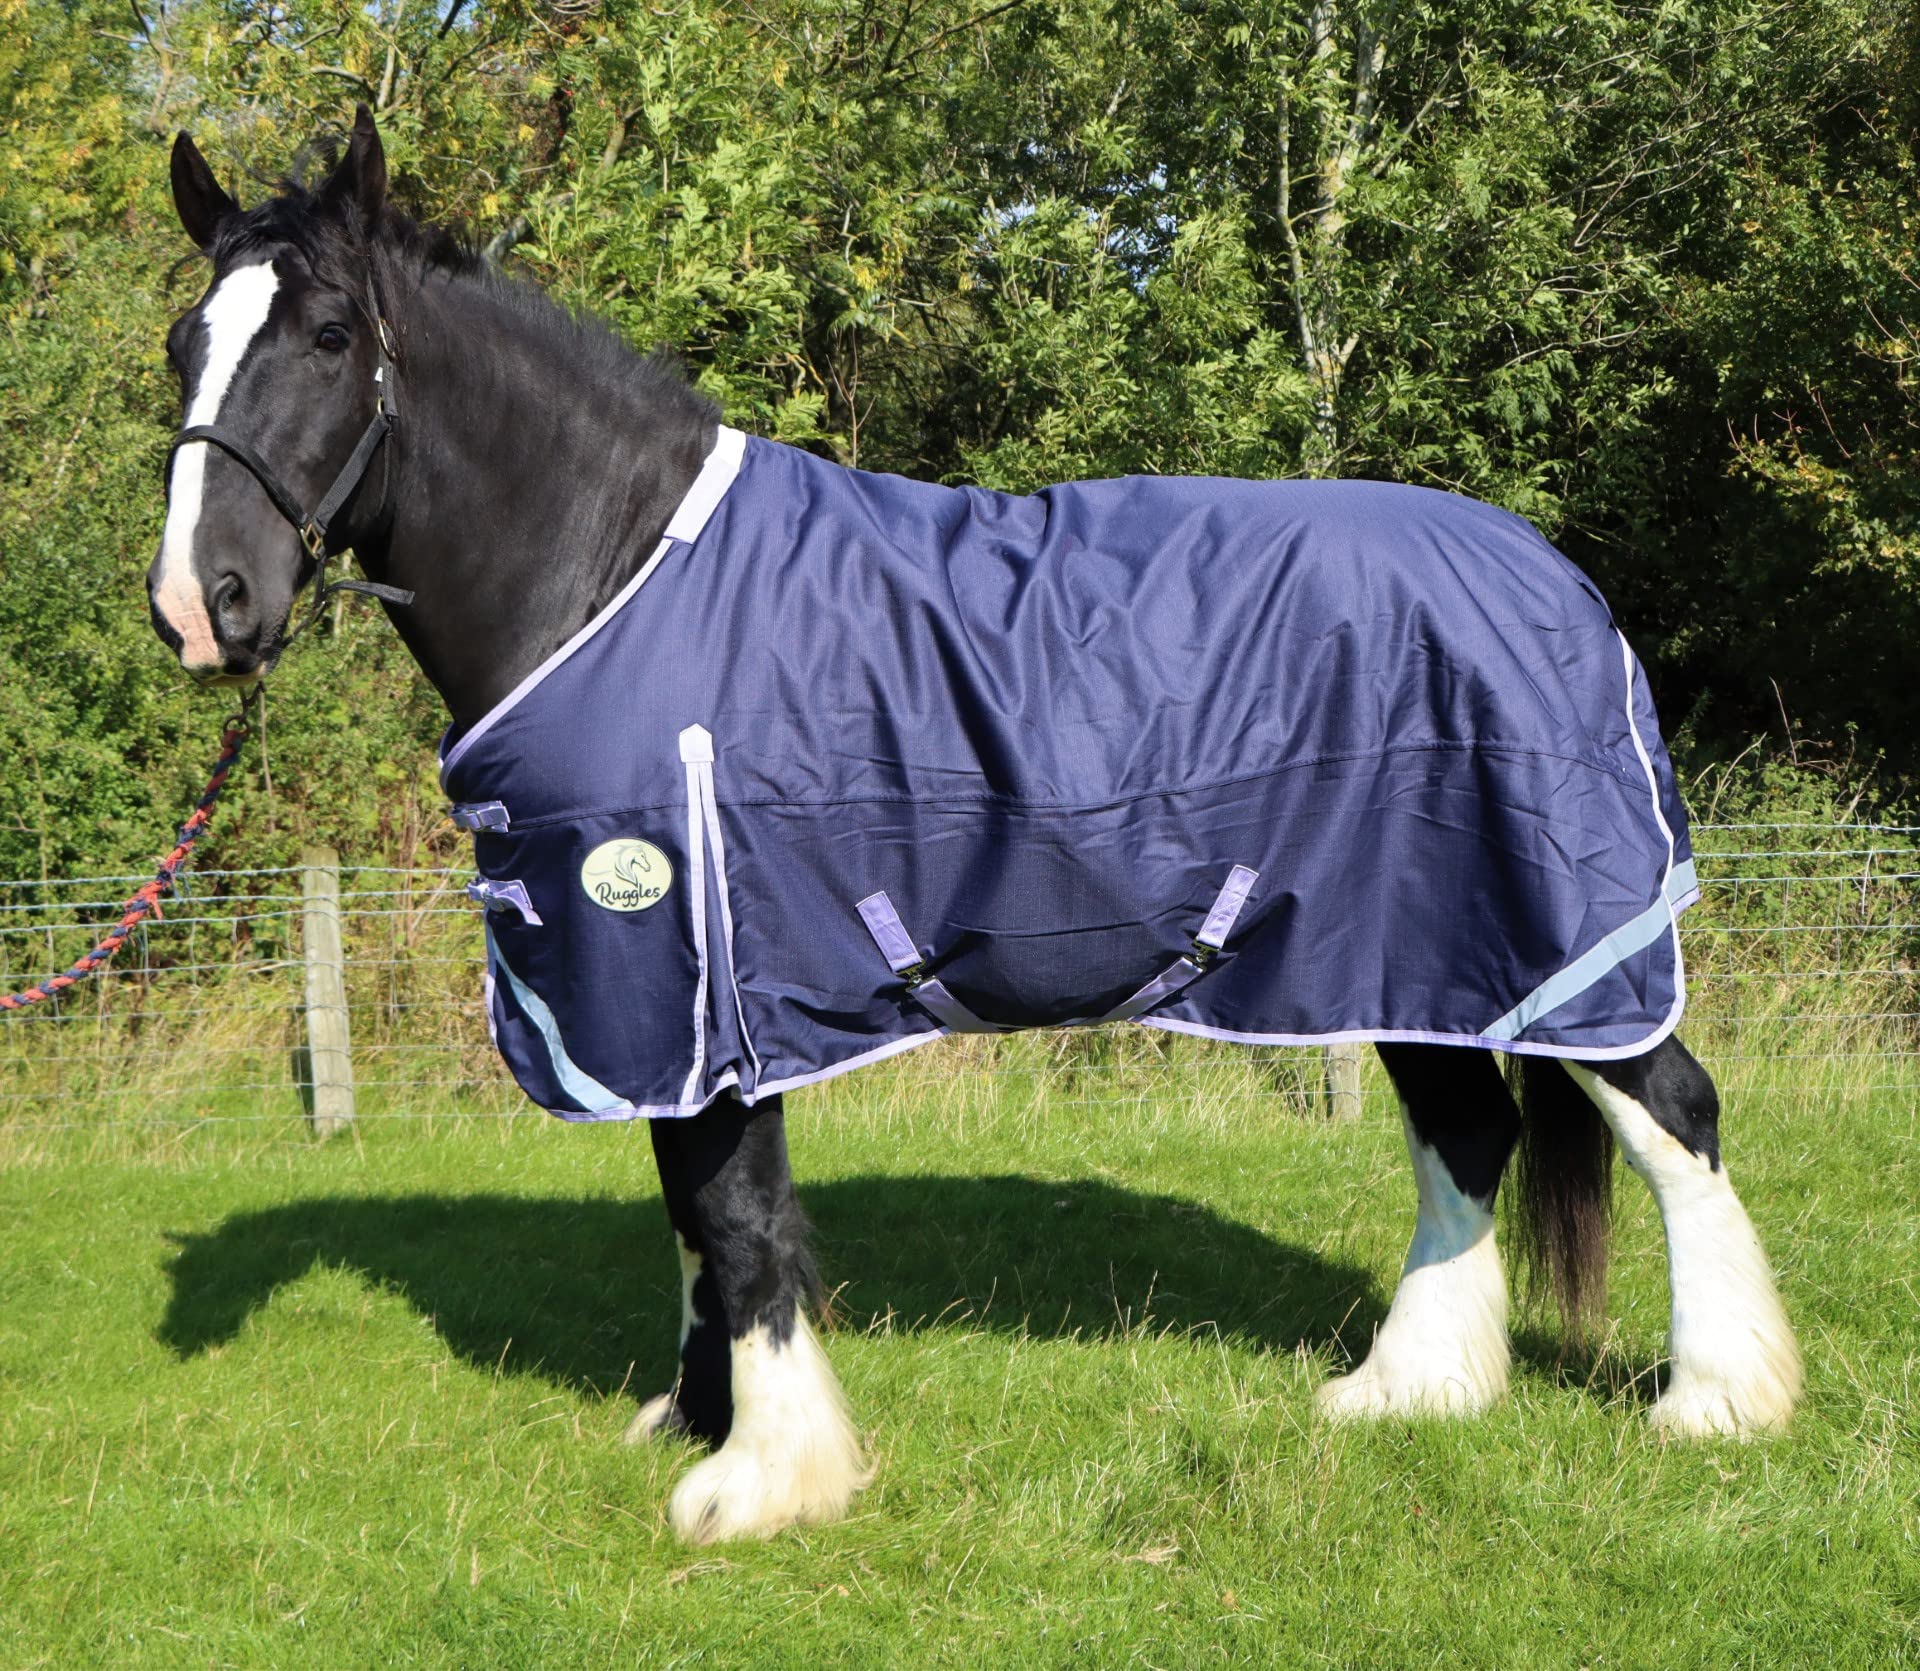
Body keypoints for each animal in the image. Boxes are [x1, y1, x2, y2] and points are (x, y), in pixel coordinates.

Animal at [148, 107, 1802, 1544]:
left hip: (1559, 932)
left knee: (1672, 1110)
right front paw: (704, 1412)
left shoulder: (703, 958)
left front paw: (762, 1475)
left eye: (329, 337)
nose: (200, 604)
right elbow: (690, 1202)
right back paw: (1412, 1386)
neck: (616, 574)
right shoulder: (660, 987)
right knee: (1468, 1129)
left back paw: (1720, 1397)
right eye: (184, 345)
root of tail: (1550, 569)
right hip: (1412, 949)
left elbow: (734, 1209)